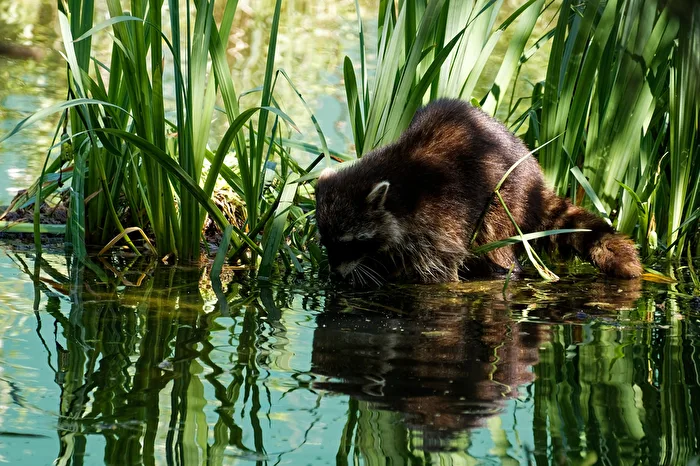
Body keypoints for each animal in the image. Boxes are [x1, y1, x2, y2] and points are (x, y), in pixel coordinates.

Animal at [315, 99, 642, 284]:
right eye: (326, 241)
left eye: (352, 242)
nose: (336, 275)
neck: (399, 192)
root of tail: (537, 184)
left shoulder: (439, 218)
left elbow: (438, 269)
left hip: (505, 200)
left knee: (497, 246)